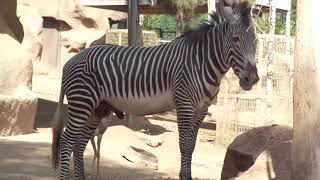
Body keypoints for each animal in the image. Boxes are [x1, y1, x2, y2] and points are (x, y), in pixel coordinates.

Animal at [51, 1, 258, 179]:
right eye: (236, 39)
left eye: (255, 42)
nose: (252, 79)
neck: (202, 62)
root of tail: (71, 61)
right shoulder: (184, 104)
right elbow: (184, 145)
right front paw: (184, 176)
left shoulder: (202, 109)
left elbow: (192, 146)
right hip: (82, 102)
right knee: (67, 141)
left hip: (97, 108)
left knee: (79, 143)